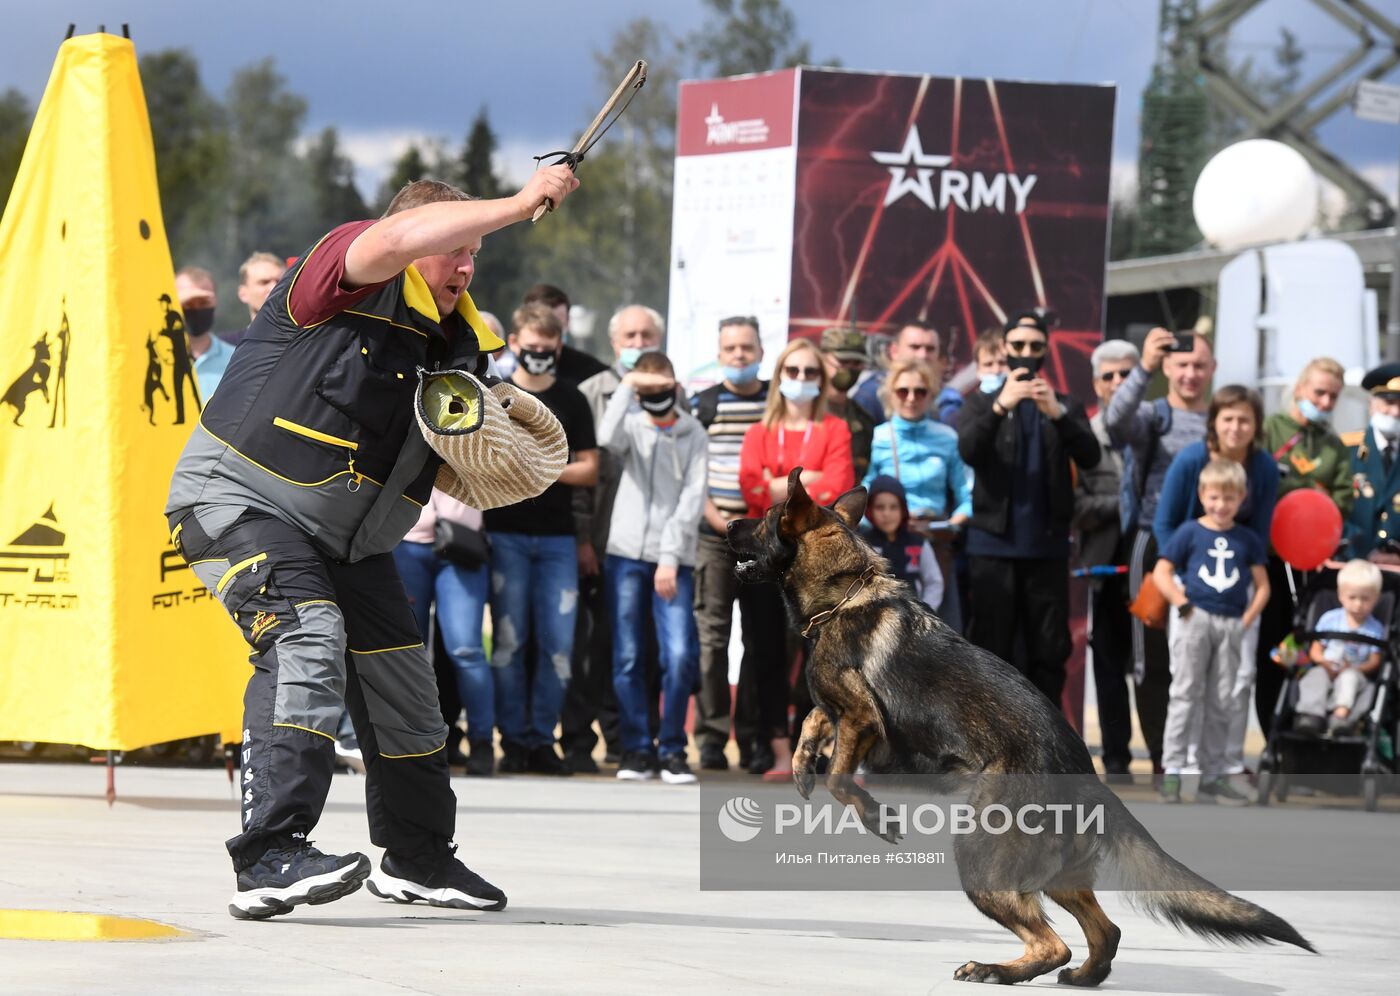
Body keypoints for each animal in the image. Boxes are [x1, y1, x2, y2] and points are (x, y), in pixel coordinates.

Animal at [728, 470, 1316, 991]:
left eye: (765, 519)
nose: (729, 520)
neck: (843, 593)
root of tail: (1090, 780)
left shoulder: (862, 716)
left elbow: (839, 775)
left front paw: (874, 815)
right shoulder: (840, 709)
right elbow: (812, 721)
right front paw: (802, 764)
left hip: (980, 857)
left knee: (1055, 942)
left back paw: (995, 970)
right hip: (1053, 875)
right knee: (1104, 933)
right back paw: (1079, 978)